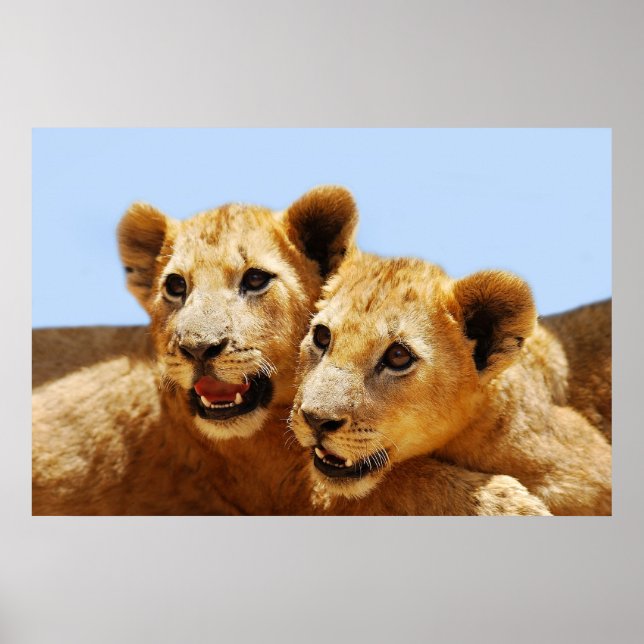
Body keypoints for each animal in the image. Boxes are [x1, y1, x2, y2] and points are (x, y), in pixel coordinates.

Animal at [33, 188, 550, 516]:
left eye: (256, 279)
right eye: (175, 287)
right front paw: (506, 504)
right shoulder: (289, 488)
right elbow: (393, 483)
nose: (199, 347)